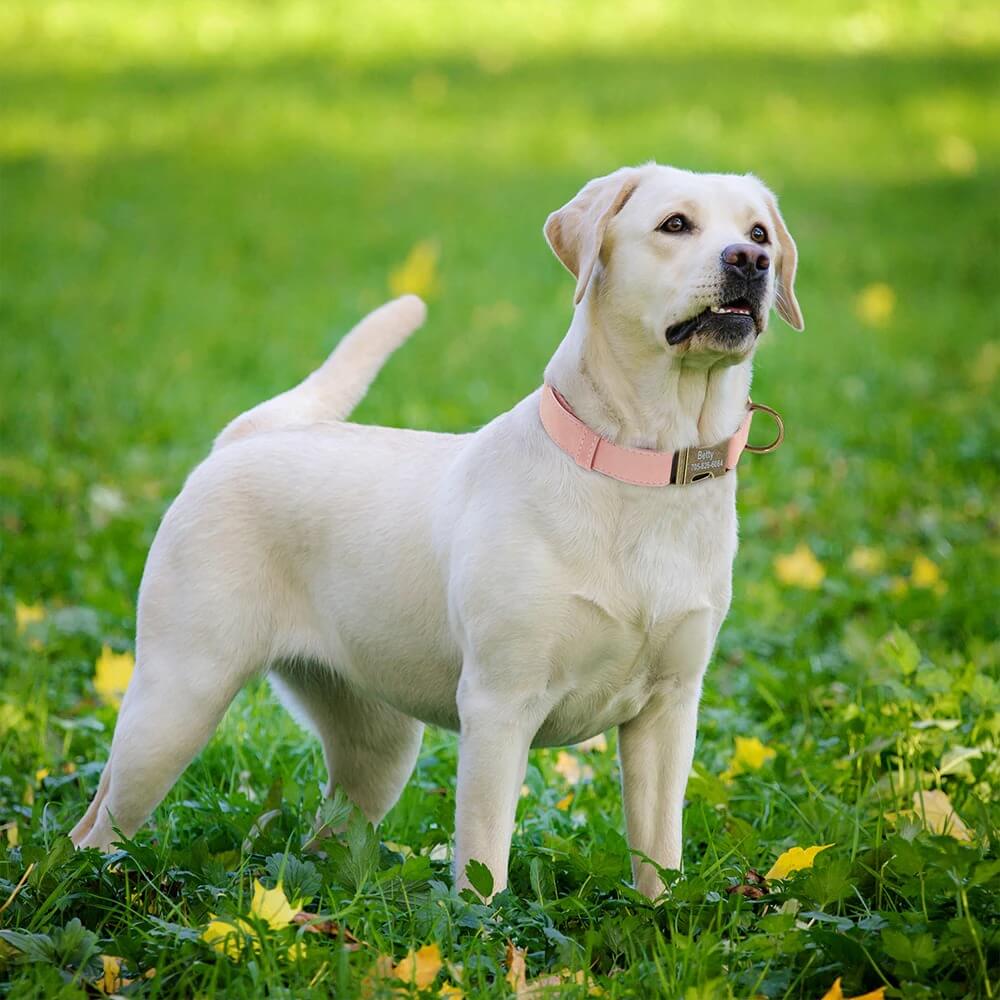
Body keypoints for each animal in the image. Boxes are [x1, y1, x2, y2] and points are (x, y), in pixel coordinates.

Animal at [68, 162, 804, 900]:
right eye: (675, 224)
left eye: (759, 233)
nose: (750, 262)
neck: (643, 467)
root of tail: (249, 435)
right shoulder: (500, 705)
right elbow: (484, 862)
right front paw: (487, 927)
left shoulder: (669, 711)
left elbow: (658, 855)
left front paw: (660, 914)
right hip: (178, 699)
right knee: (98, 823)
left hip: (379, 742)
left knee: (327, 831)